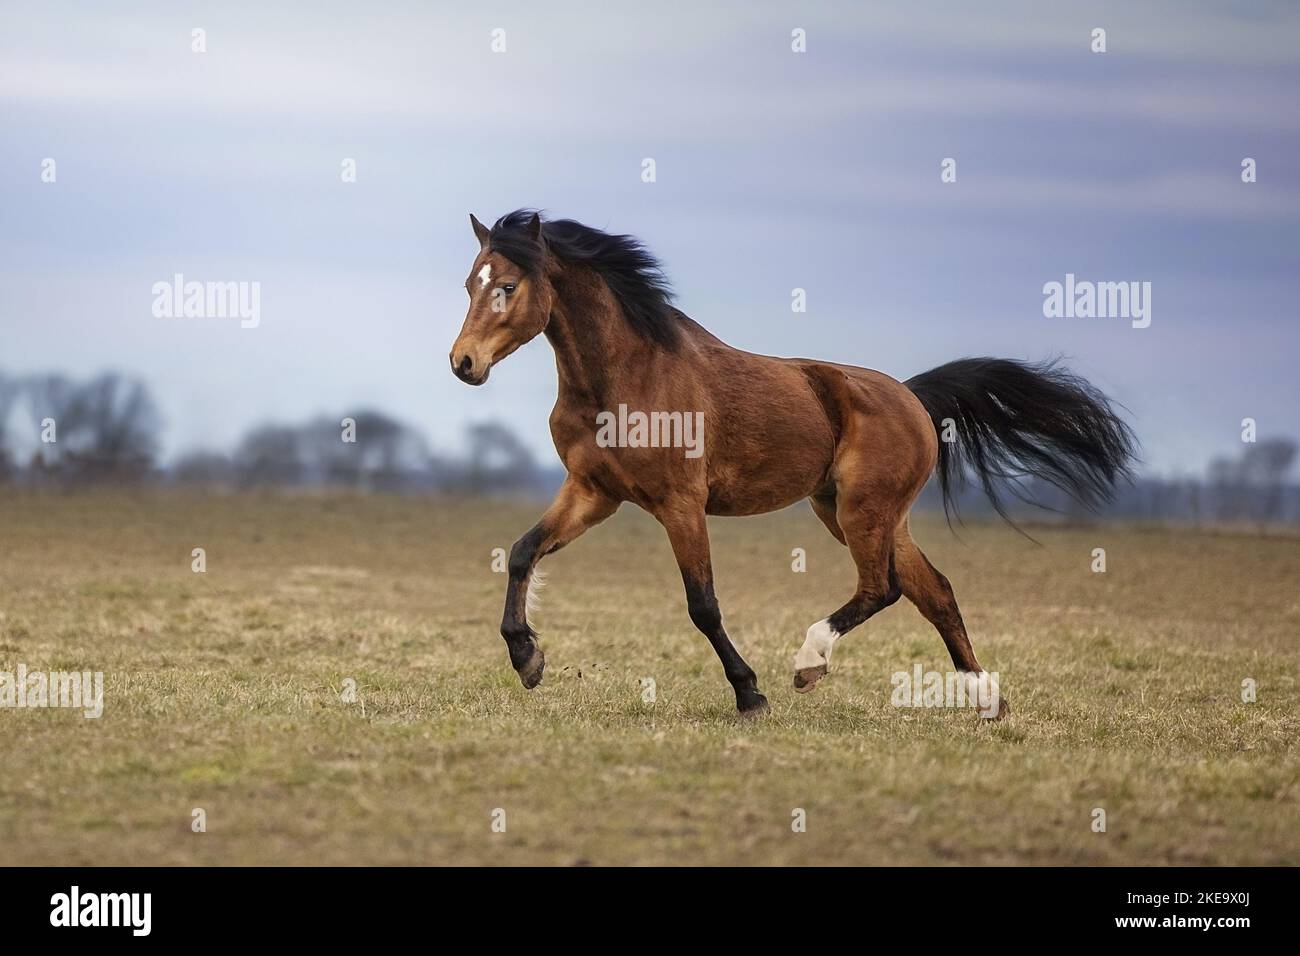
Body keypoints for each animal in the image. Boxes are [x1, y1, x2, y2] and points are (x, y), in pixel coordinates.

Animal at [449, 209, 1138, 717]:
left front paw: (750, 693)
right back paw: (985, 702)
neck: (623, 377)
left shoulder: (680, 503)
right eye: (469, 284)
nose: (463, 363)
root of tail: (914, 398)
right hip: (859, 512)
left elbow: (703, 604)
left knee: (883, 587)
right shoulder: (594, 491)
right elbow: (522, 552)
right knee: (934, 591)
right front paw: (528, 660)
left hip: (861, 510)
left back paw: (809, 664)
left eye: (507, 286)